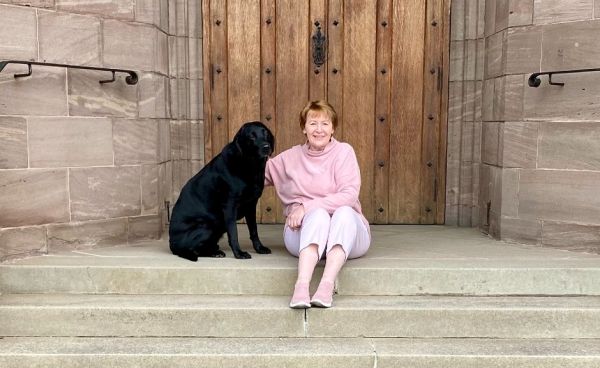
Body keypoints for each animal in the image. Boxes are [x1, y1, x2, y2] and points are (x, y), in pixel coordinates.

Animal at [168, 122, 274, 260]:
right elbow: (233, 232)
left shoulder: (251, 205)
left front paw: (259, 248)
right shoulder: (230, 206)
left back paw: (215, 252)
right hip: (207, 226)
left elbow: (254, 230)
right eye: (251, 137)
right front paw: (239, 253)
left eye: (266, 133)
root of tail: (172, 245)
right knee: (193, 249)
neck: (249, 166)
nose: (266, 147)